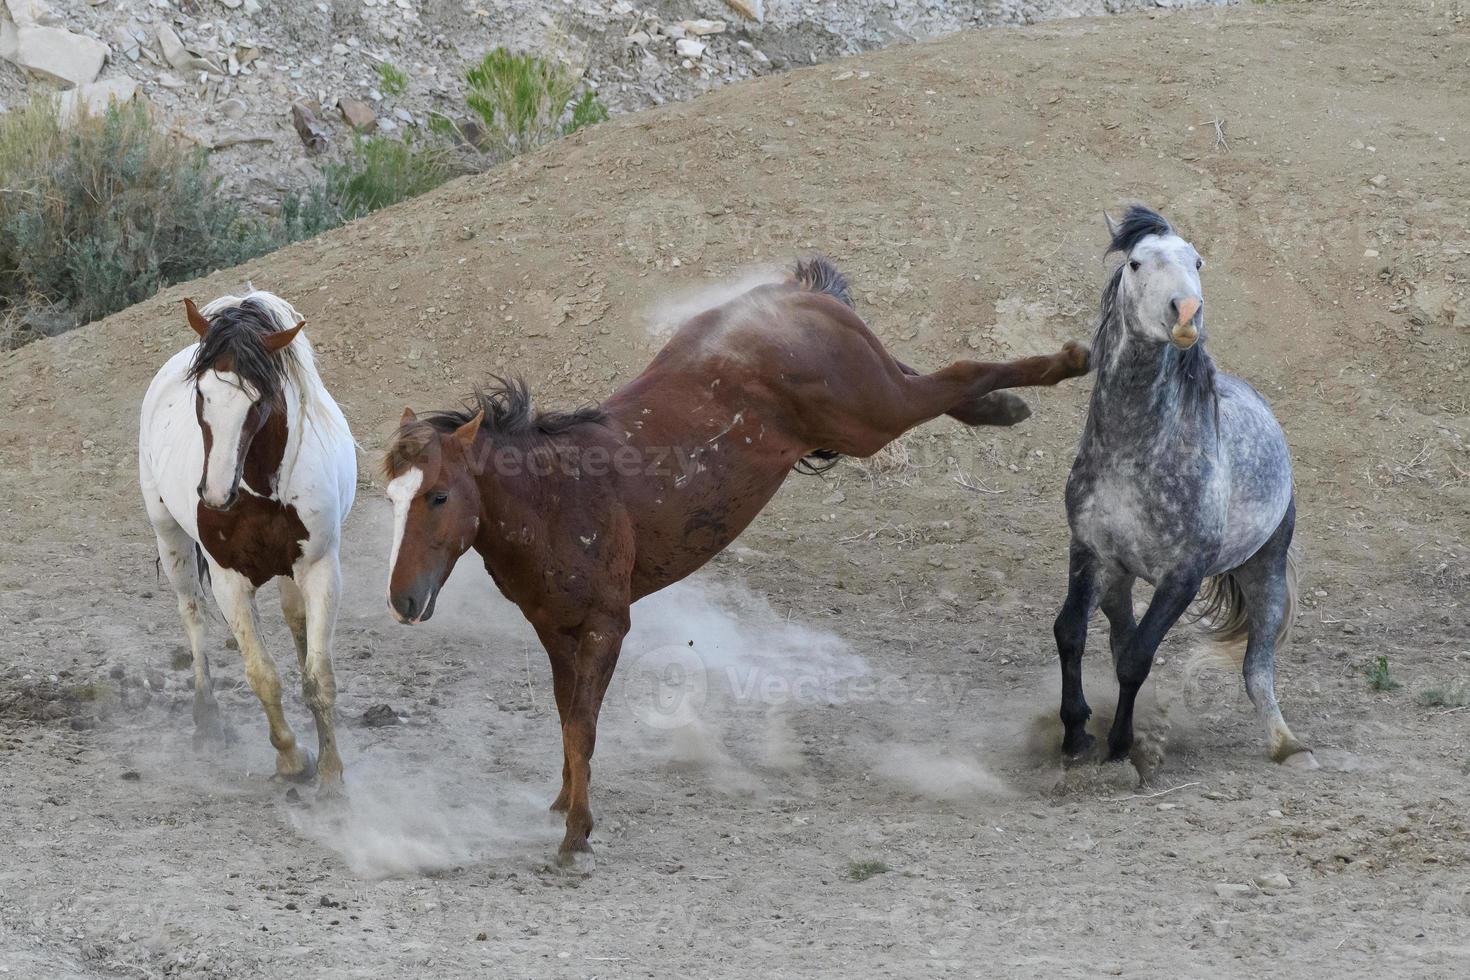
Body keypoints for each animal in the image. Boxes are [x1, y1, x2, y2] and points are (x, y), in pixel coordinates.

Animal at [138, 293, 357, 787]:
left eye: (258, 400)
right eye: (202, 394)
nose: (216, 495)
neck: (260, 491)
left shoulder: (320, 569)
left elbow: (319, 676)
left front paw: (331, 768)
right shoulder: (230, 582)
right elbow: (261, 675)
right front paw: (292, 757)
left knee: (296, 623)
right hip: (169, 537)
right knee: (193, 614)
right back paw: (206, 719)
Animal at [379, 258, 1093, 863]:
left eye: (439, 495)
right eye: (390, 496)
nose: (404, 600)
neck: (558, 492)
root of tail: (796, 294)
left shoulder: (606, 626)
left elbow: (582, 725)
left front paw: (576, 834)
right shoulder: (557, 633)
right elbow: (566, 718)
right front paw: (562, 804)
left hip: (871, 414)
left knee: (957, 372)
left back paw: (1065, 361)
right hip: (867, 402)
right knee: (931, 376)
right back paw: (1004, 405)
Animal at [1052, 208, 1317, 775]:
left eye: (1197, 261)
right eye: (1135, 263)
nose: (1188, 312)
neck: (1135, 452)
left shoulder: (1183, 577)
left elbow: (1137, 658)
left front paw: (1121, 746)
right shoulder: (1090, 553)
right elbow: (1072, 633)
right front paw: (1076, 736)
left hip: (1265, 570)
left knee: (1257, 666)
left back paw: (1288, 745)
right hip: (1120, 579)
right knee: (1118, 631)